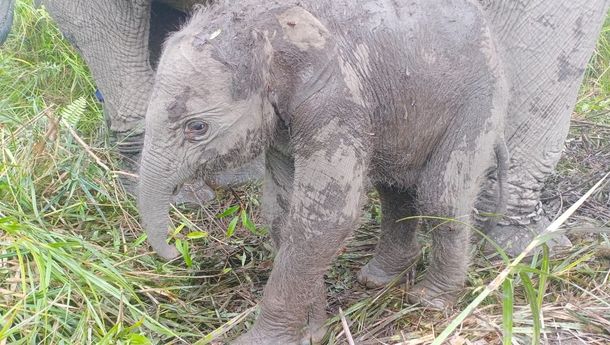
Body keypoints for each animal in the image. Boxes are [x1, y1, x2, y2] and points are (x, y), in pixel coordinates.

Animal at [138, 0, 508, 342]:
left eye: (197, 127)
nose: (176, 252)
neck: (263, 24)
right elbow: (283, 211)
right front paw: (312, 333)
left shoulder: (336, 100)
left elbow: (324, 217)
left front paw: (265, 340)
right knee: (394, 188)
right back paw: (379, 278)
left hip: (479, 99)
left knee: (439, 197)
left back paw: (431, 300)